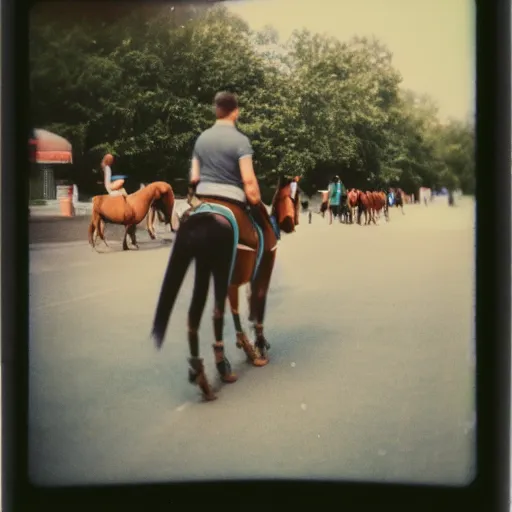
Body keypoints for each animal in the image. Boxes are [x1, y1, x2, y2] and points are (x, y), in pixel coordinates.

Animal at [150, 178, 298, 402]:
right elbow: (257, 304)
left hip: (203, 265)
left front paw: (247, 347)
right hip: (218, 261)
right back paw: (221, 370)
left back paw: (201, 375)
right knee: (216, 312)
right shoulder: (262, 270)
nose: (292, 224)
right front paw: (259, 346)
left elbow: (236, 310)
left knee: (194, 315)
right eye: (295, 198)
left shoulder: (233, 281)